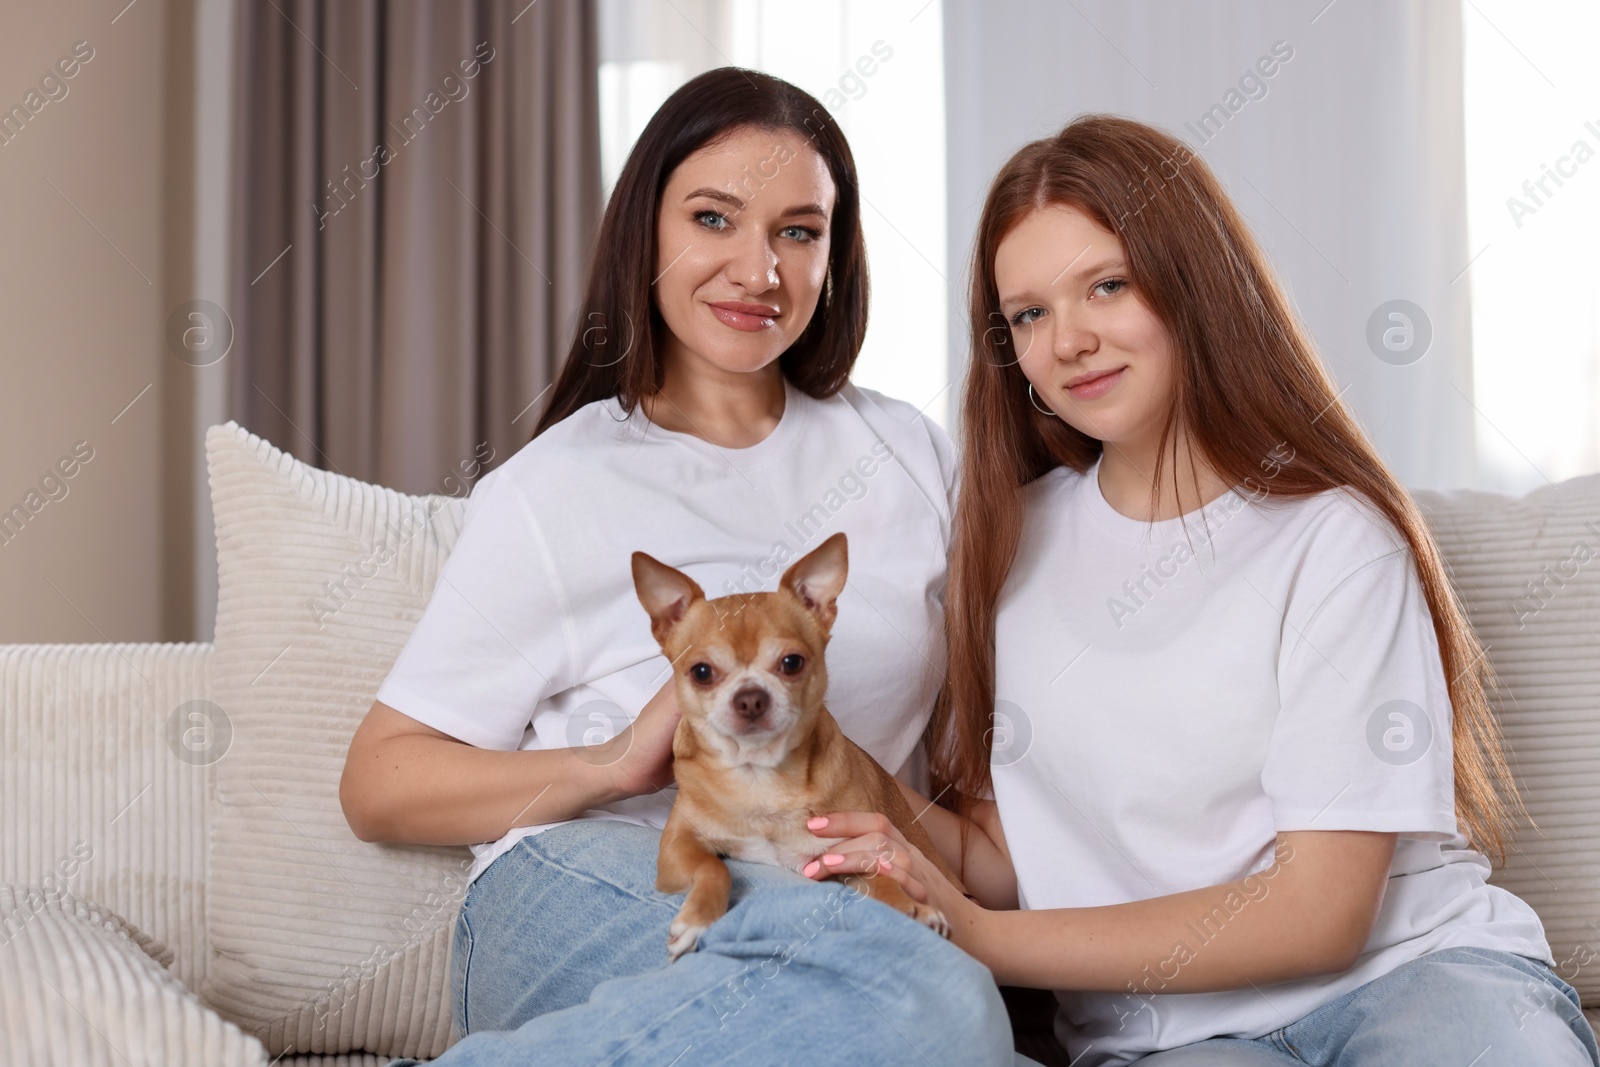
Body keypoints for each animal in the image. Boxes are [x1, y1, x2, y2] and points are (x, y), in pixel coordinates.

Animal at [633, 534, 960, 959]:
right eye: (701, 672)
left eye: (791, 663)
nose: (750, 697)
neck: (760, 777)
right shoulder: (676, 845)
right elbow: (713, 866)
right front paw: (697, 918)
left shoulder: (850, 854)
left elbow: (884, 878)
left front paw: (913, 908)